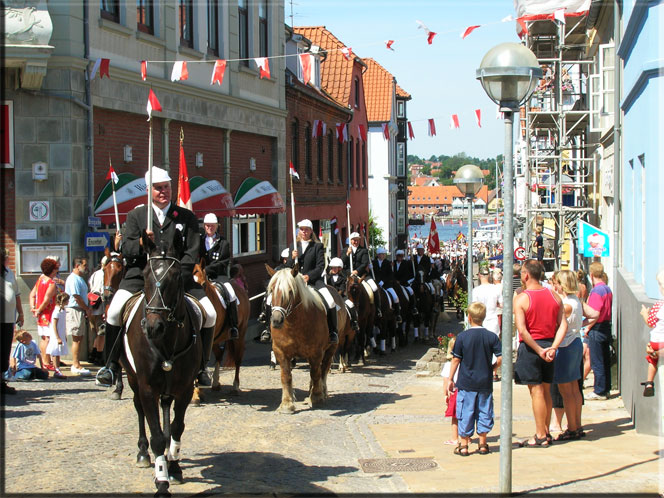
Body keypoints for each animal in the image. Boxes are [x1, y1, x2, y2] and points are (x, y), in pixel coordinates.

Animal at [120, 231, 201, 496]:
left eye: (175, 276)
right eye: (146, 273)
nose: (154, 326)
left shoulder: (185, 388)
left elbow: (177, 427)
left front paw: (173, 466)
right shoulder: (147, 388)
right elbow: (155, 433)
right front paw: (162, 479)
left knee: (166, 408)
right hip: (132, 379)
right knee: (139, 410)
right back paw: (144, 454)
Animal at [195, 258, 252, 402]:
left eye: (203, 285)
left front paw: (197, 392)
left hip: (239, 336)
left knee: (237, 359)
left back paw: (235, 387)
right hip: (216, 339)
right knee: (219, 355)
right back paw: (215, 383)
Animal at [264, 264, 350, 412]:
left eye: (290, 292)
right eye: (272, 290)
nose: (276, 321)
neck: (294, 324)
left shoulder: (316, 351)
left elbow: (315, 373)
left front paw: (316, 398)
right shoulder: (280, 351)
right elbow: (286, 376)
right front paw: (287, 404)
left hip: (331, 347)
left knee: (324, 368)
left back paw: (322, 391)